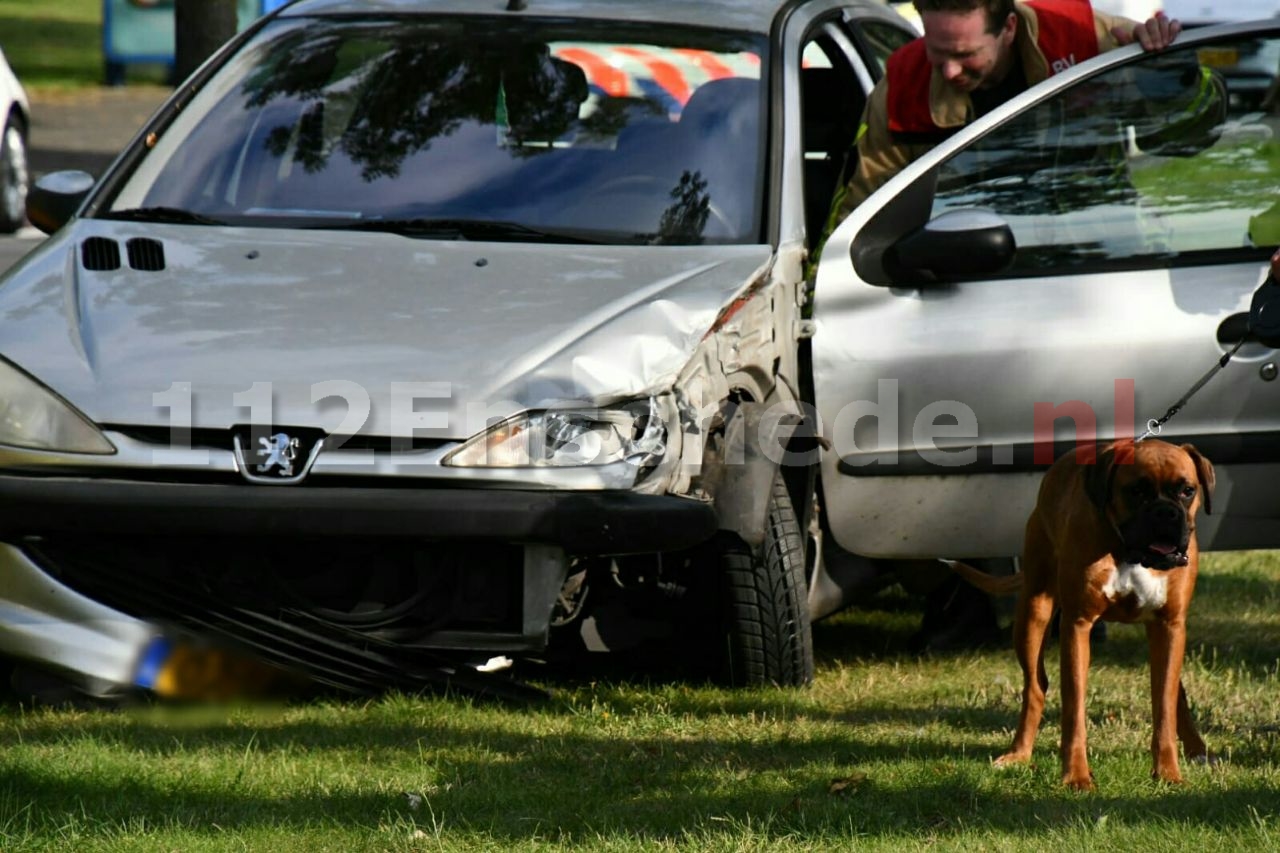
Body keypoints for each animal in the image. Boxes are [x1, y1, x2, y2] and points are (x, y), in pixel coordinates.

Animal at [957, 438, 1213, 788]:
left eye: (1187, 490)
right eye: (1137, 491)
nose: (1165, 512)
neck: (1128, 553)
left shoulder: (1170, 626)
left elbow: (1164, 706)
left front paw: (1168, 773)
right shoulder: (1077, 626)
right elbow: (1074, 709)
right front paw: (1076, 775)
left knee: (1176, 693)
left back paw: (1197, 750)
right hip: (1033, 615)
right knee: (1035, 687)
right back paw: (1018, 755)